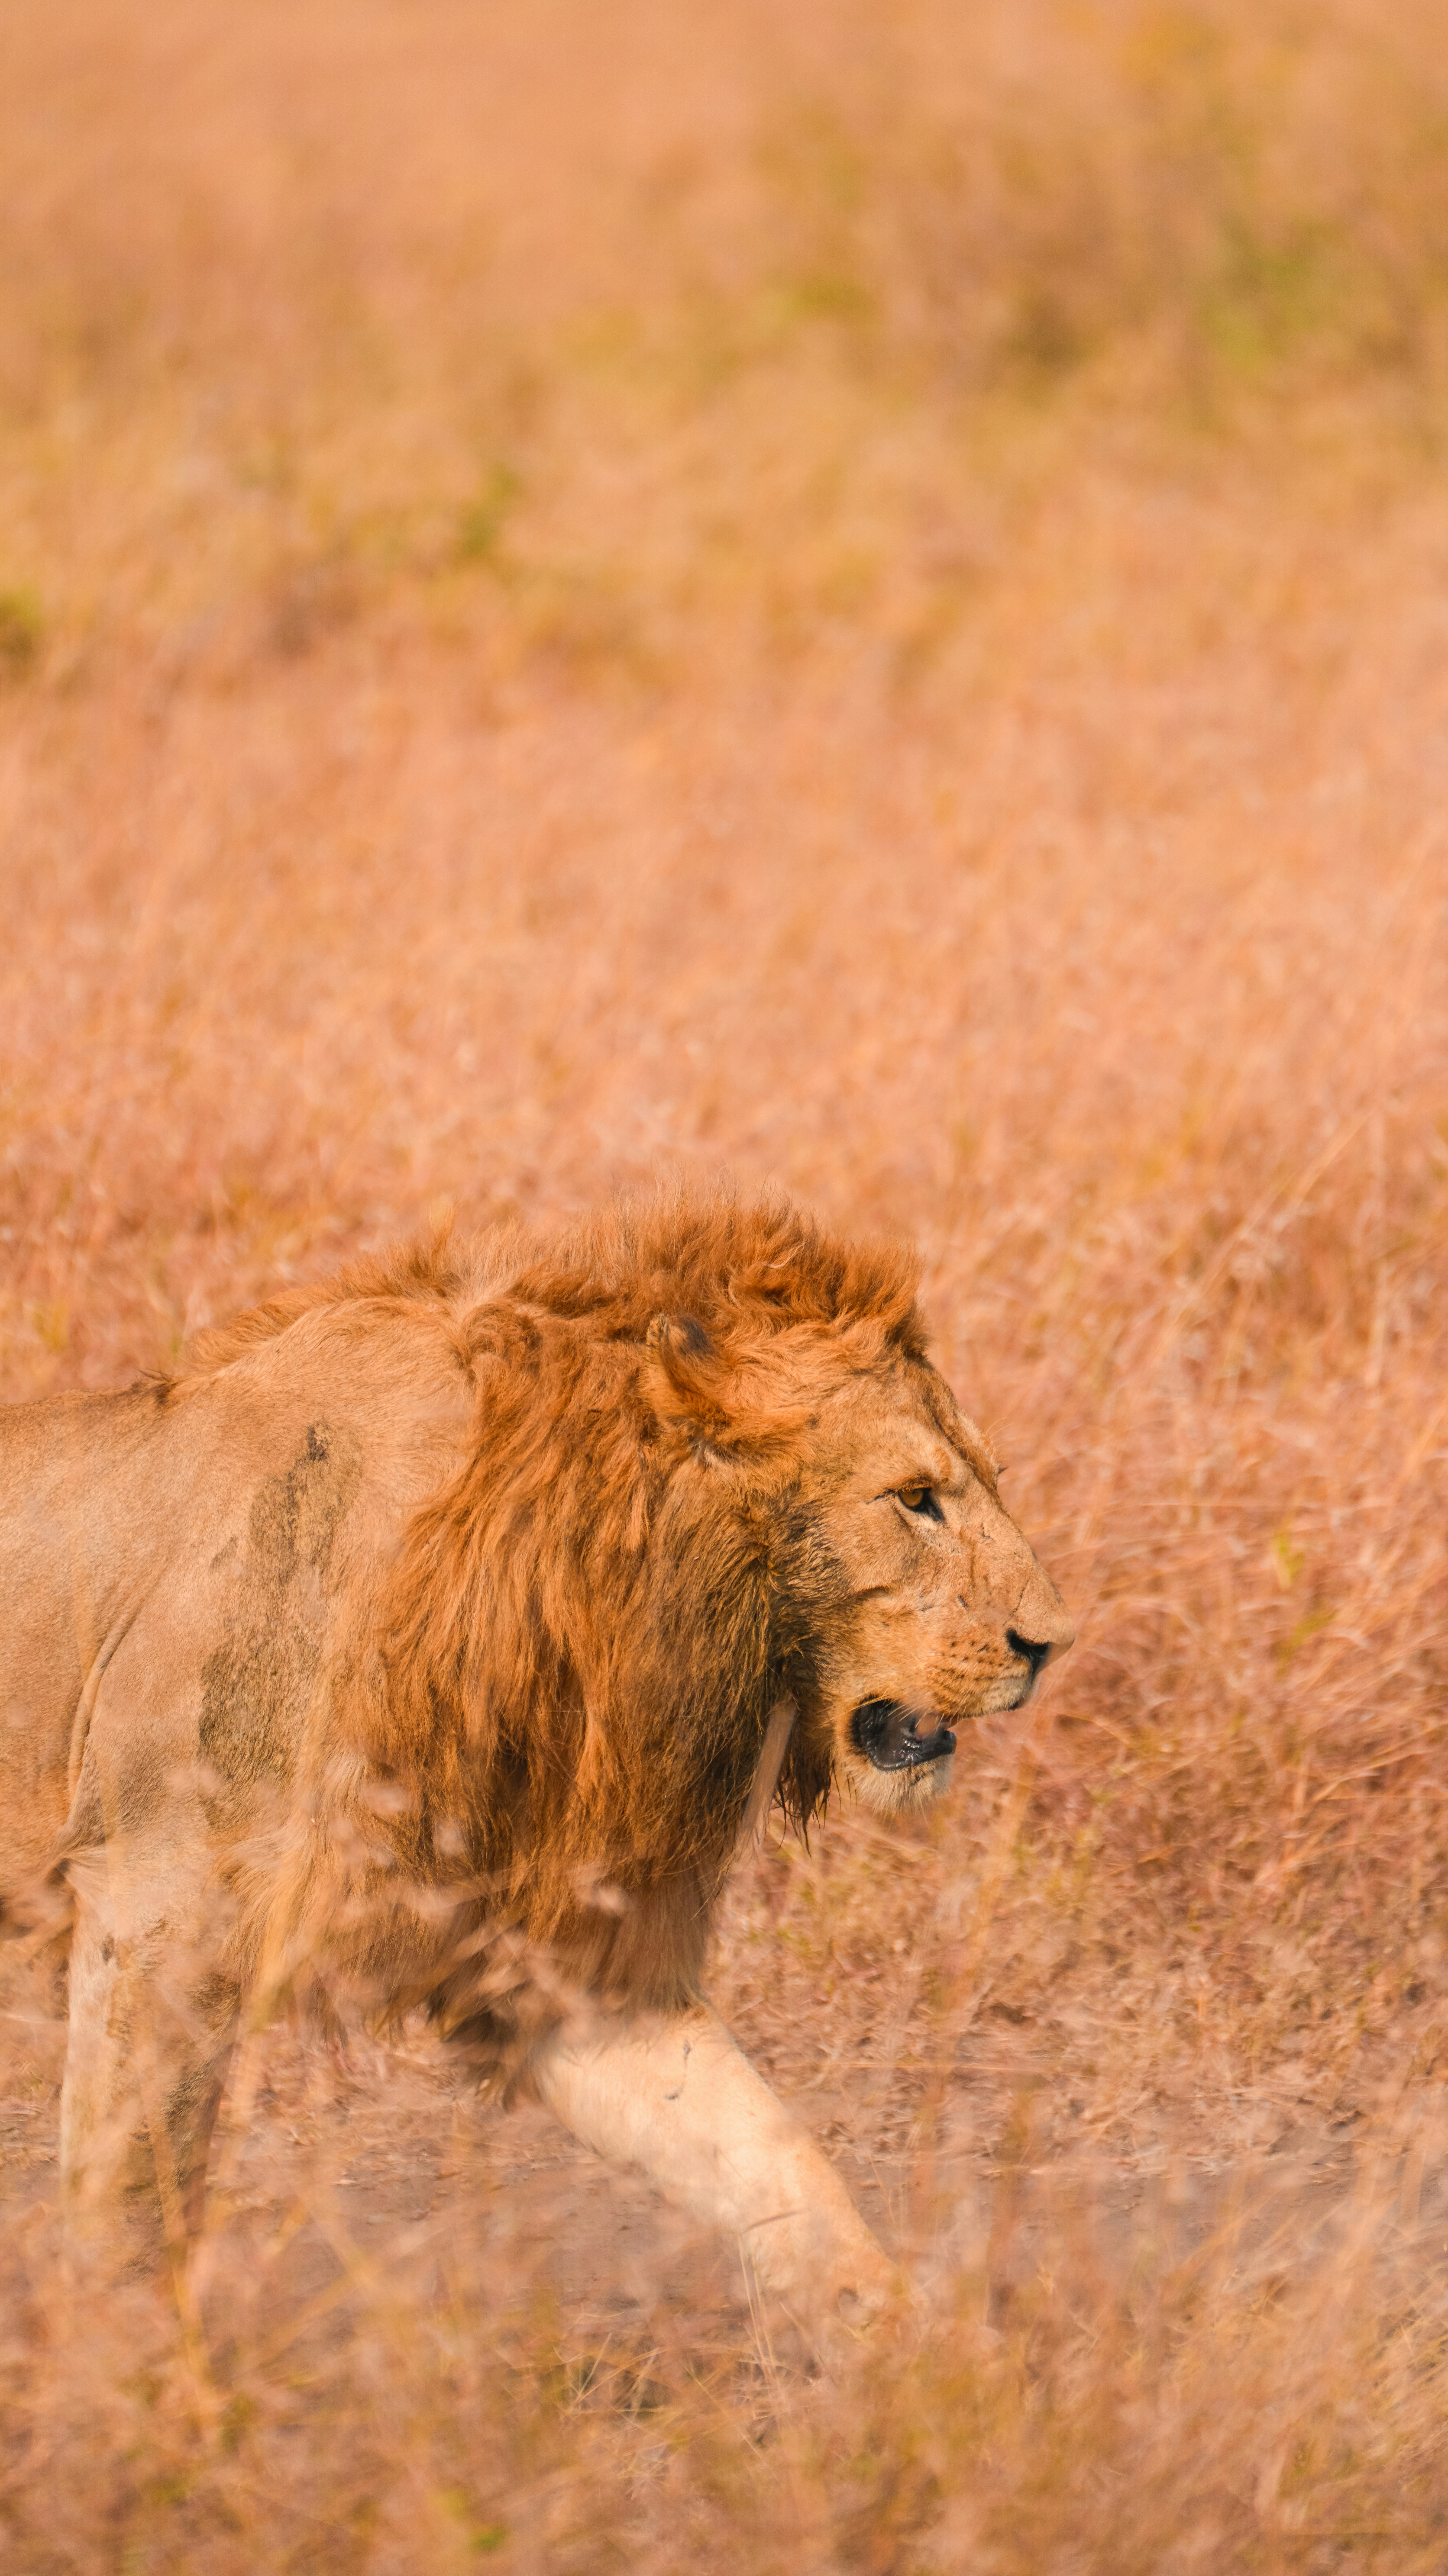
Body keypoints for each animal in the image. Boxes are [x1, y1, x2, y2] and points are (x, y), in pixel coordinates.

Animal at [0, 1186, 1072, 2340]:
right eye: (914, 1498)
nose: (1050, 1643)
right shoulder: (161, 1898)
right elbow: (131, 2194)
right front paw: (126, 2373)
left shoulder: (549, 1958)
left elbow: (766, 2156)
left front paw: (912, 2356)